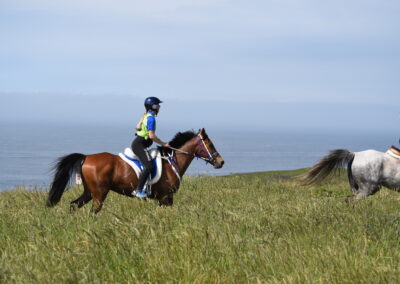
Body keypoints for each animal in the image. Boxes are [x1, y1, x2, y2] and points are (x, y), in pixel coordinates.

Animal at [47, 129, 225, 213]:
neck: (172, 161)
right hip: (99, 194)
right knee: (92, 211)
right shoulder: (166, 197)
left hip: (89, 192)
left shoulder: (164, 199)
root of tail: (86, 157)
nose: (220, 162)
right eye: (210, 144)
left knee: (74, 205)